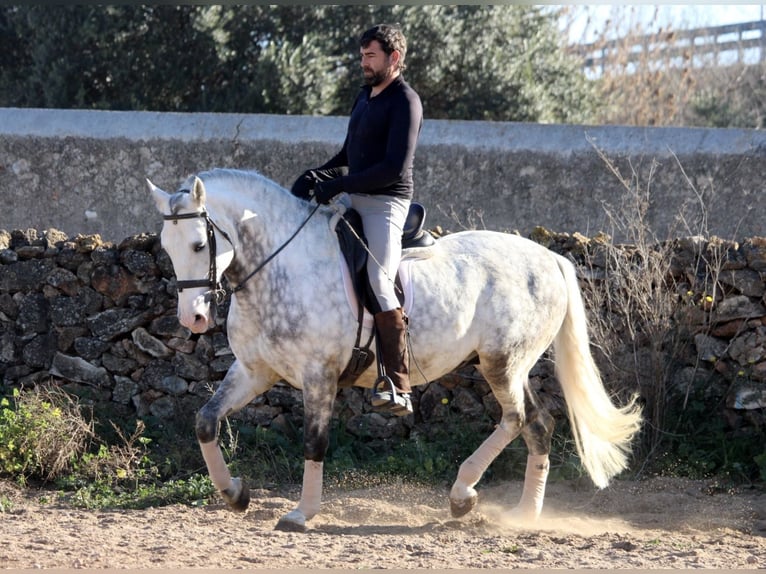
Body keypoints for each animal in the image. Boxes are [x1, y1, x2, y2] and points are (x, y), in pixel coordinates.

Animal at [148, 169, 640, 532]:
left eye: (199, 244)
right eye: (166, 248)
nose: (192, 319)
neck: (280, 266)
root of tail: (549, 258)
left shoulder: (319, 375)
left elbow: (314, 441)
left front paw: (302, 514)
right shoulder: (254, 371)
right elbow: (206, 422)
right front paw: (234, 493)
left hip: (502, 361)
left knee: (516, 419)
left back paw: (463, 495)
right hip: (512, 366)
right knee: (539, 423)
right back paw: (524, 515)